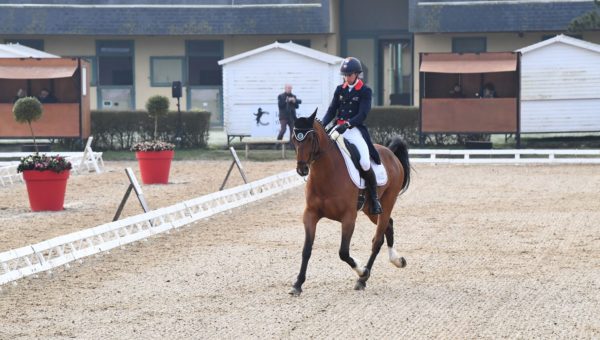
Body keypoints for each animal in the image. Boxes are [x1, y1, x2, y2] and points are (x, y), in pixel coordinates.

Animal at [288, 109, 410, 294]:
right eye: (294, 139)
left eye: (310, 138)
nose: (302, 169)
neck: (327, 174)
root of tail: (390, 153)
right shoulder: (310, 214)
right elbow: (306, 250)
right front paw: (297, 284)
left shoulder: (348, 218)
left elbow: (343, 252)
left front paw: (362, 270)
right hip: (370, 209)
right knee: (388, 224)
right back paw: (397, 260)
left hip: (387, 202)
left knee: (377, 240)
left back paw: (363, 279)